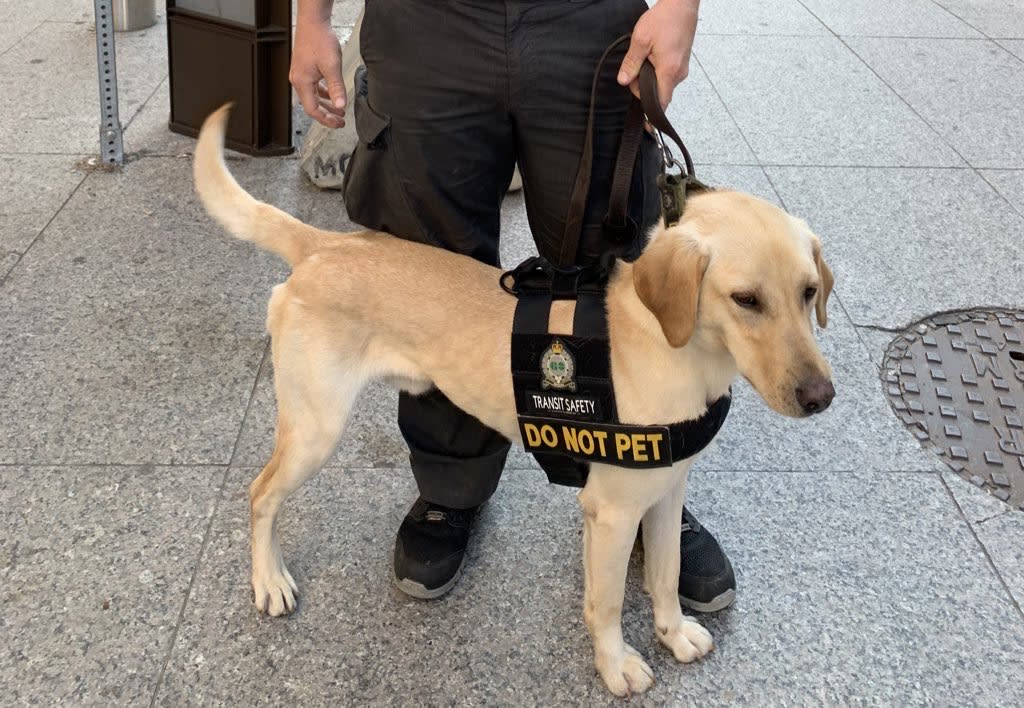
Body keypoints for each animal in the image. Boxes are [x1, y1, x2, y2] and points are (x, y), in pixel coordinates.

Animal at [192, 106, 831, 696]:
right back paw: (269, 579)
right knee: (259, 494)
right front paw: (616, 664)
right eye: (745, 299)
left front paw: (672, 633)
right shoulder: (612, 511)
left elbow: (667, 574)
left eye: (808, 292)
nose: (821, 397)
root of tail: (325, 243)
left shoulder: (666, 492)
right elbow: (605, 604)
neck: (672, 347)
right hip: (315, 429)